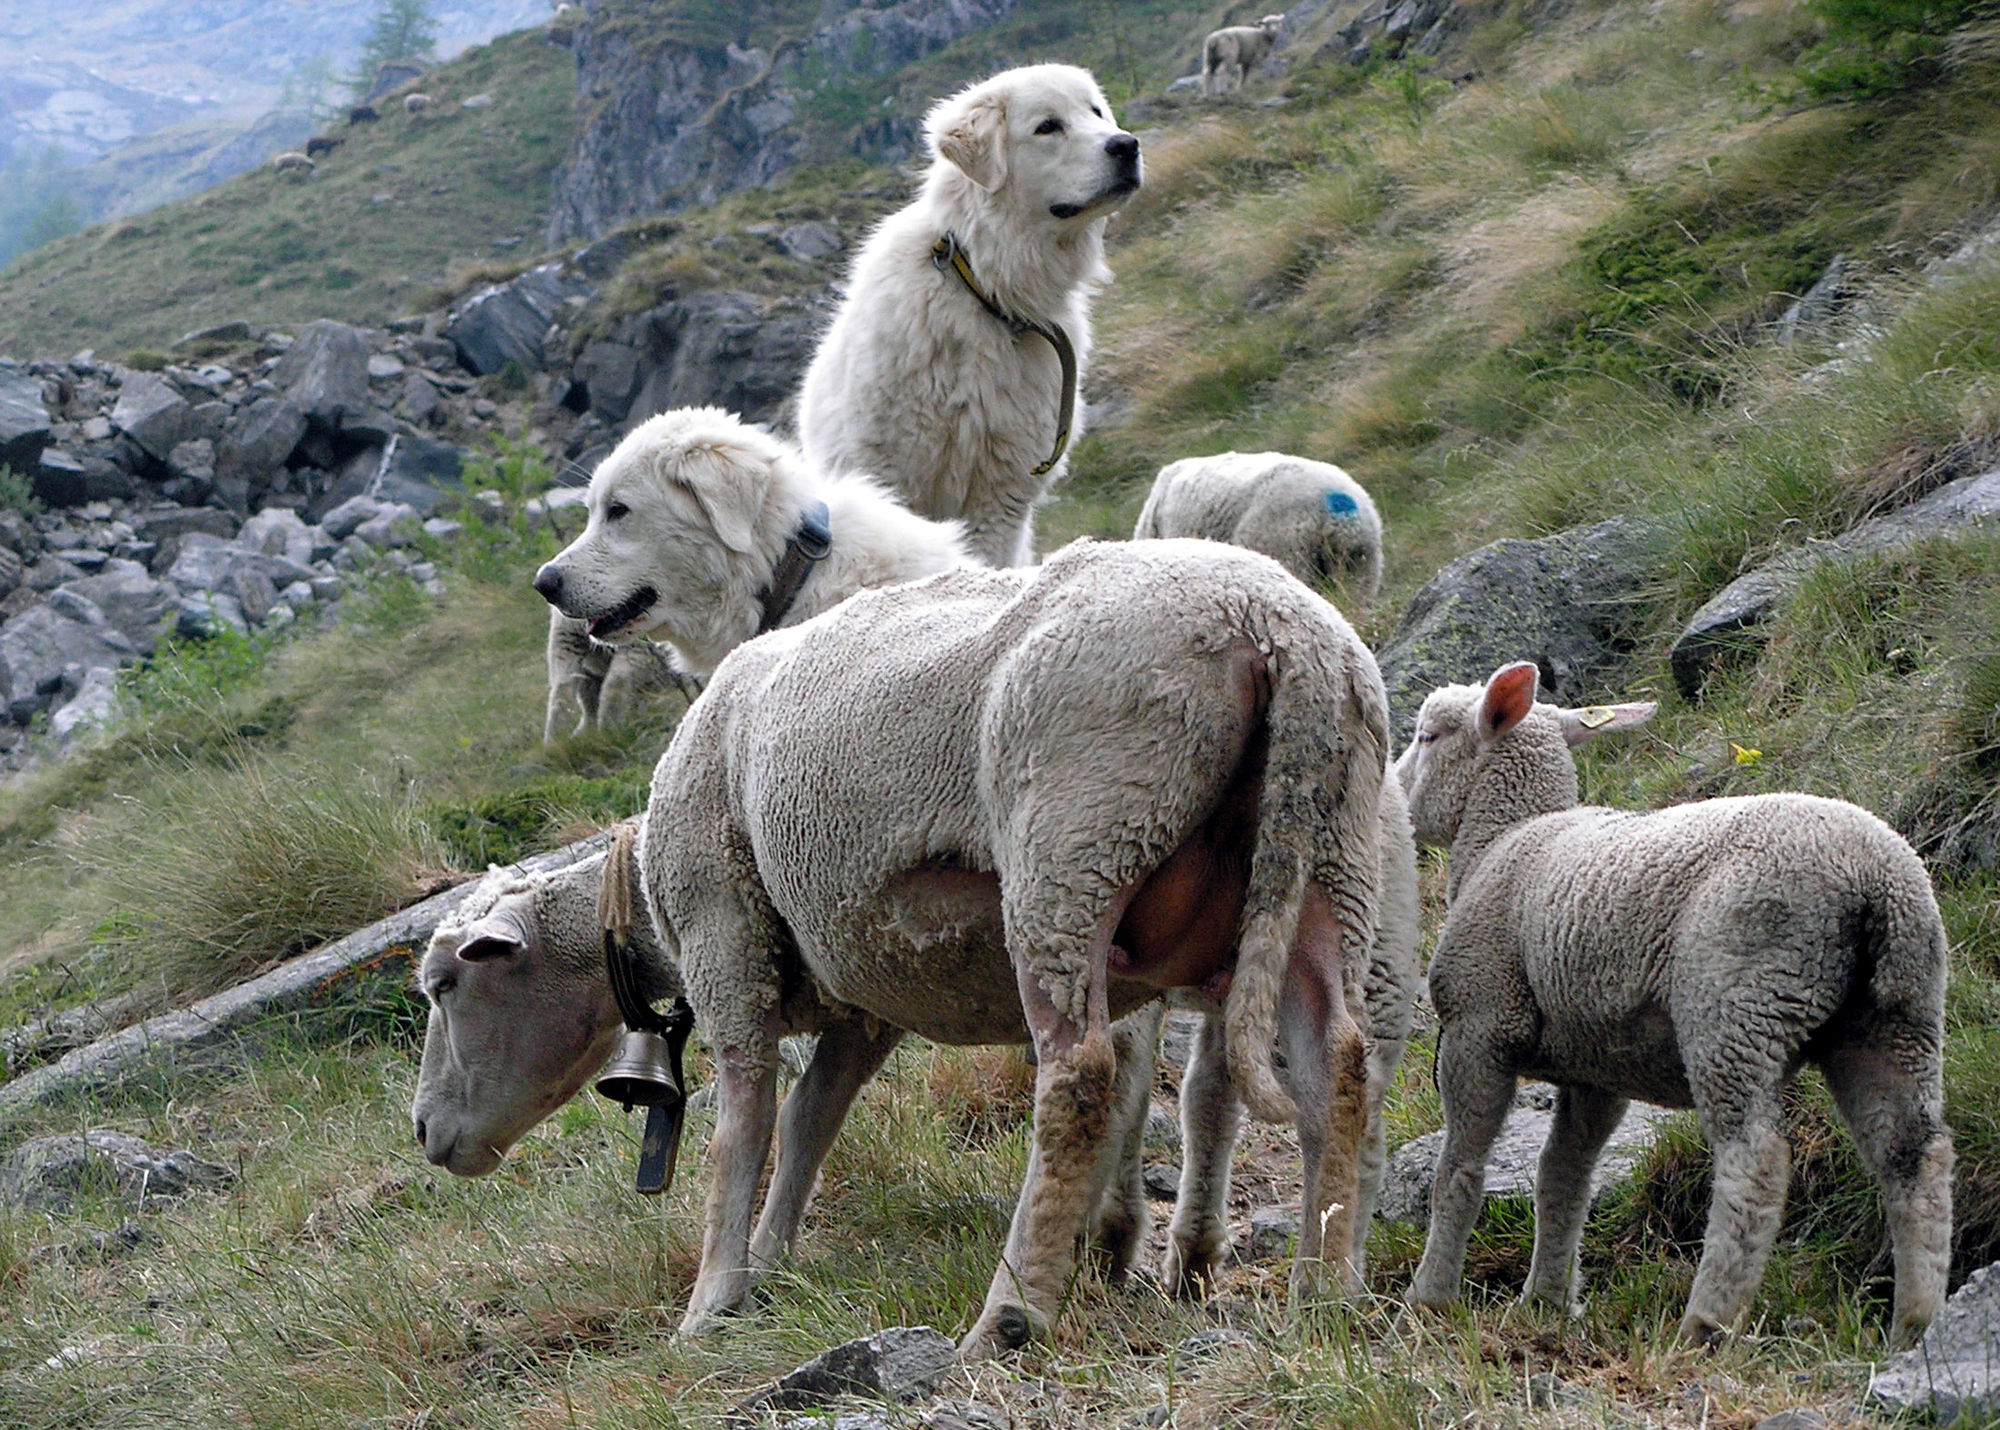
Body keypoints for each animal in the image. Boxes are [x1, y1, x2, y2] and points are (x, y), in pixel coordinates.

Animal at [796, 65, 1144, 572]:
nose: (1127, 145)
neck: (984, 289)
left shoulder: (999, 496)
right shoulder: (887, 473)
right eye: (1047, 126)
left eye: (1096, 112)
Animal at [1392, 664, 1952, 1352]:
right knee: (1915, 1158)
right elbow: (1562, 1178)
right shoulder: (1596, 1066)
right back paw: (1915, 1324)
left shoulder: (1480, 1023)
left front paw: (1428, 1300)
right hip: (1899, 1014)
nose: (1394, 796)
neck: (1505, 838)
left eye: (1427, 735)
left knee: (1756, 1161)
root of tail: (1872, 881)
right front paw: (1547, 1300)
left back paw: (1706, 1322)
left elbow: (1459, 1171)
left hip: (1738, 1003)